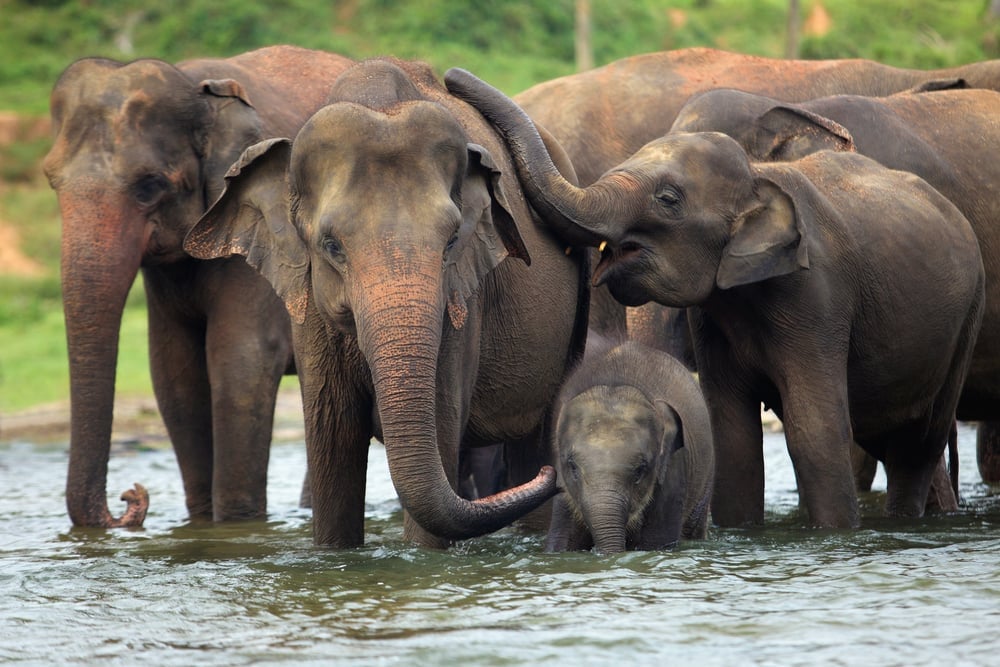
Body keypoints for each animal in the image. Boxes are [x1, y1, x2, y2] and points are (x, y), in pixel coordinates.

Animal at [43, 44, 356, 528]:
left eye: (149, 186)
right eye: (51, 181)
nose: (131, 497)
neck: (196, 87)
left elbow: (240, 360)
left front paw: (237, 525)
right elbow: (174, 371)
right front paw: (201, 524)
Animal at [184, 57, 588, 548]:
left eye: (452, 240)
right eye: (331, 246)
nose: (553, 475)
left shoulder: (462, 305)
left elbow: (439, 431)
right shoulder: (309, 307)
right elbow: (332, 441)